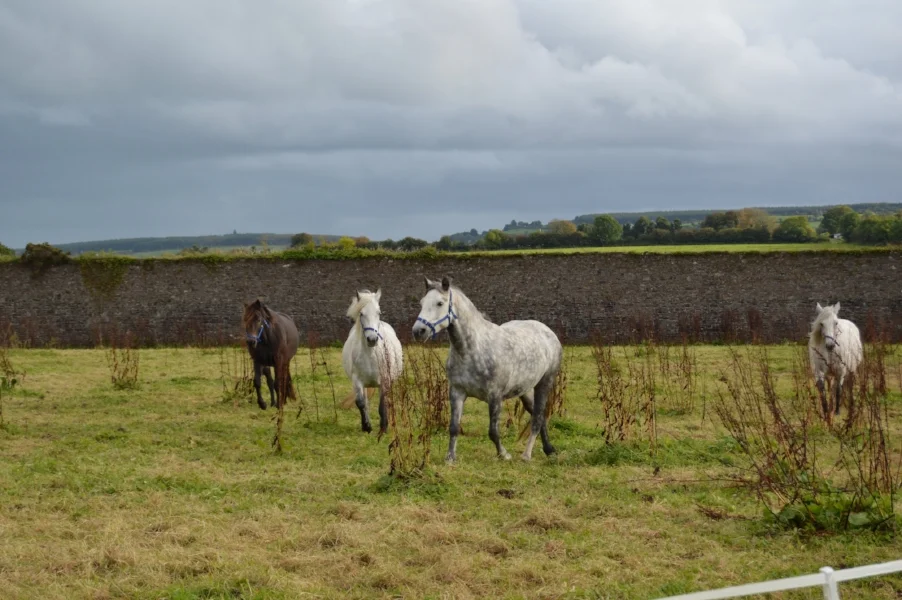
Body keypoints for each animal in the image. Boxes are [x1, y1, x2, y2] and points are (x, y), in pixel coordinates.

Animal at [342, 289, 403, 435]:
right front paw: (366, 426)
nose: (372, 339)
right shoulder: (357, 381)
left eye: (379, 313)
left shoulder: (385, 381)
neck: (371, 355)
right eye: (361, 314)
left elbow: (382, 405)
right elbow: (361, 403)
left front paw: (384, 427)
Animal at [412, 276, 561, 463]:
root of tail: (547, 330)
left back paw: (527, 455)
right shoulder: (457, 392)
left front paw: (504, 454)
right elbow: (454, 427)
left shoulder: (494, 396)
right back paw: (549, 449)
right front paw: (450, 458)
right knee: (537, 415)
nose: (418, 331)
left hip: (544, 382)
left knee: (538, 417)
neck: (471, 350)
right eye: (422, 302)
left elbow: (493, 431)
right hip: (525, 390)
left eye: (440, 303)